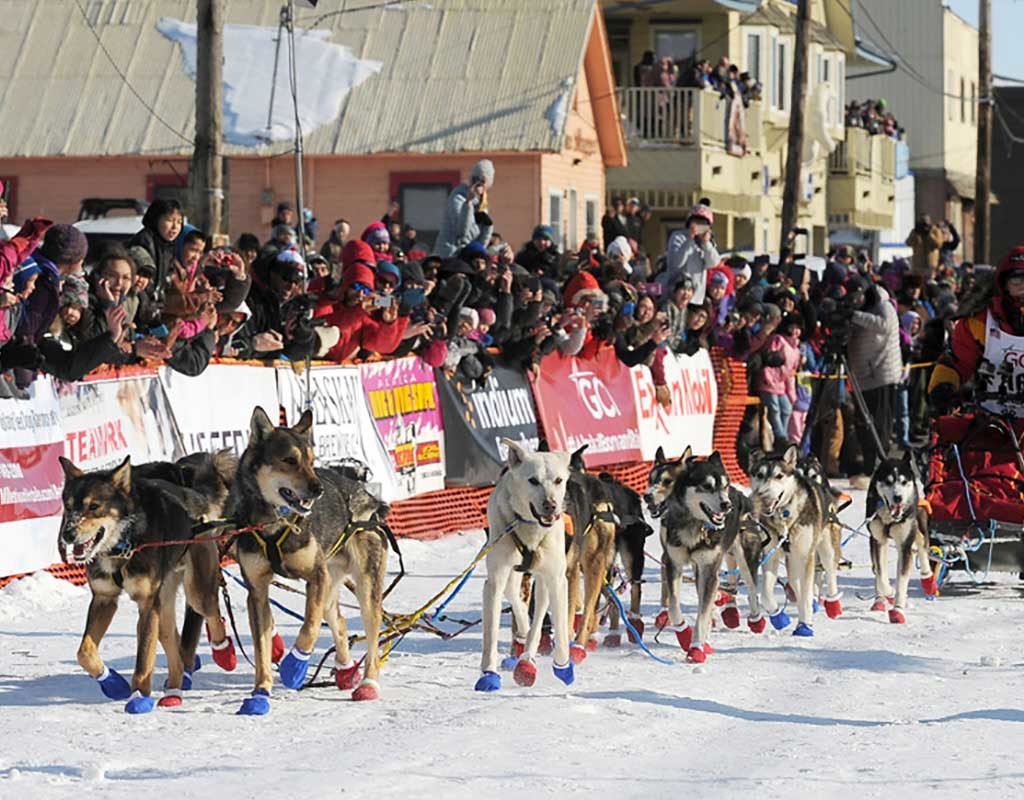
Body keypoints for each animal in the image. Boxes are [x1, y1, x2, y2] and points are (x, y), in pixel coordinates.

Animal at [473, 440, 577, 688]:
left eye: (558, 480)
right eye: (533, 480)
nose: (550, 505)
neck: (530, 529)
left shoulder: (556, 579)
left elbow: (560, 628)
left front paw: (563, 666)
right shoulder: (495, 580)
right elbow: (490, 634)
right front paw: (488, 674)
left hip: (544, 579)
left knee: (538, 617)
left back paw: (528, 659)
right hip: (512, 575)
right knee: (517, 603)